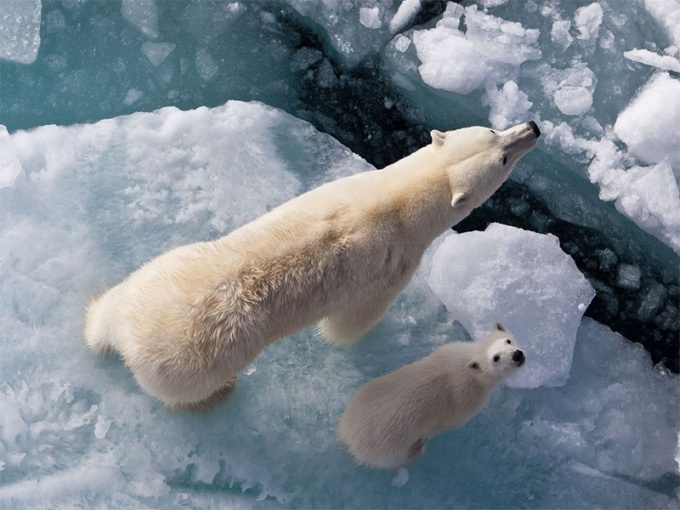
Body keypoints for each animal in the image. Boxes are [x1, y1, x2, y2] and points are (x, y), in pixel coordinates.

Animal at [86, 121, 540, 412]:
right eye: (502, 154)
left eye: (492, 133)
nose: (533, 127)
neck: (396, 202)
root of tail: (128, 337)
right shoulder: (392, 266)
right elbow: (351, 323)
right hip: (191, 364)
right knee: (185, 391)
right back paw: (221, 392)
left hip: (159, 271)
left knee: (109, 305)